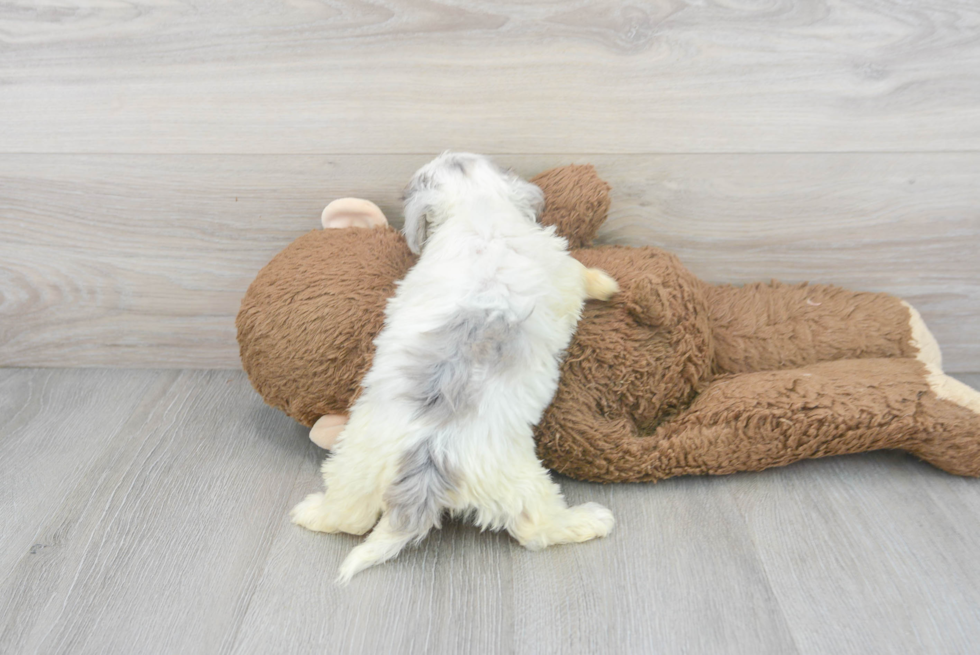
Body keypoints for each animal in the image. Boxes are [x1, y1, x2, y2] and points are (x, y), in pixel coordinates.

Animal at [290, 151, 620, 580]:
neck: (476, 208)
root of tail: (427, 456)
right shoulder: (560, 265)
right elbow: (583, 274)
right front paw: (608, 283)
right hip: (520, 481)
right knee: (537, 528)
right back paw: (588, 520)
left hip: (354, 463)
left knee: (351, 517)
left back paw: (310, 512)